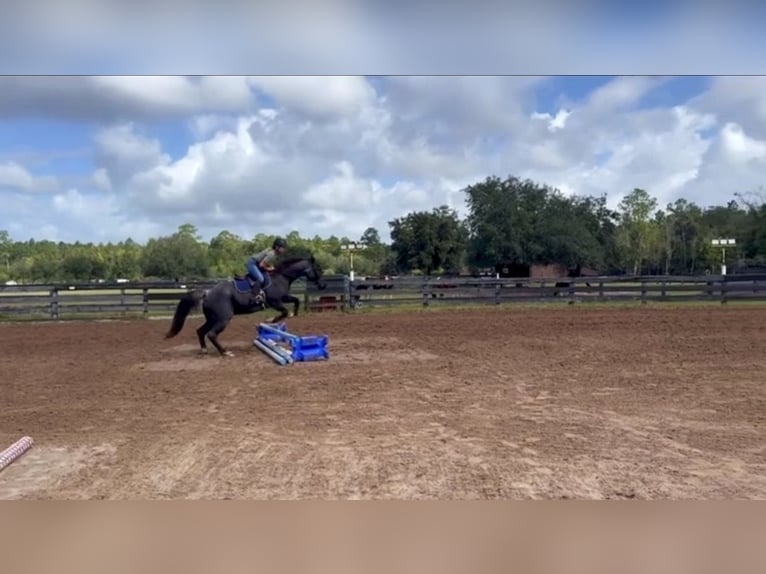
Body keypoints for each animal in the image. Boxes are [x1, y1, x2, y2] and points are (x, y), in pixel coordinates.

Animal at [164, 255, 326, 357]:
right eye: (318, 269)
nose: (323, 286)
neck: (281, 276)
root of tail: (207, 292)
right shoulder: (275, 302)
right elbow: (284, 312)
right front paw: (271, 321)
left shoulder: (284, 298)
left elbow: (296, 301)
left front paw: (294, 314)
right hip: (223, 318)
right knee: (211, 334)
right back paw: (225, 352)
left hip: (212, 318)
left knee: (200, 331)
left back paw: (204, 350)